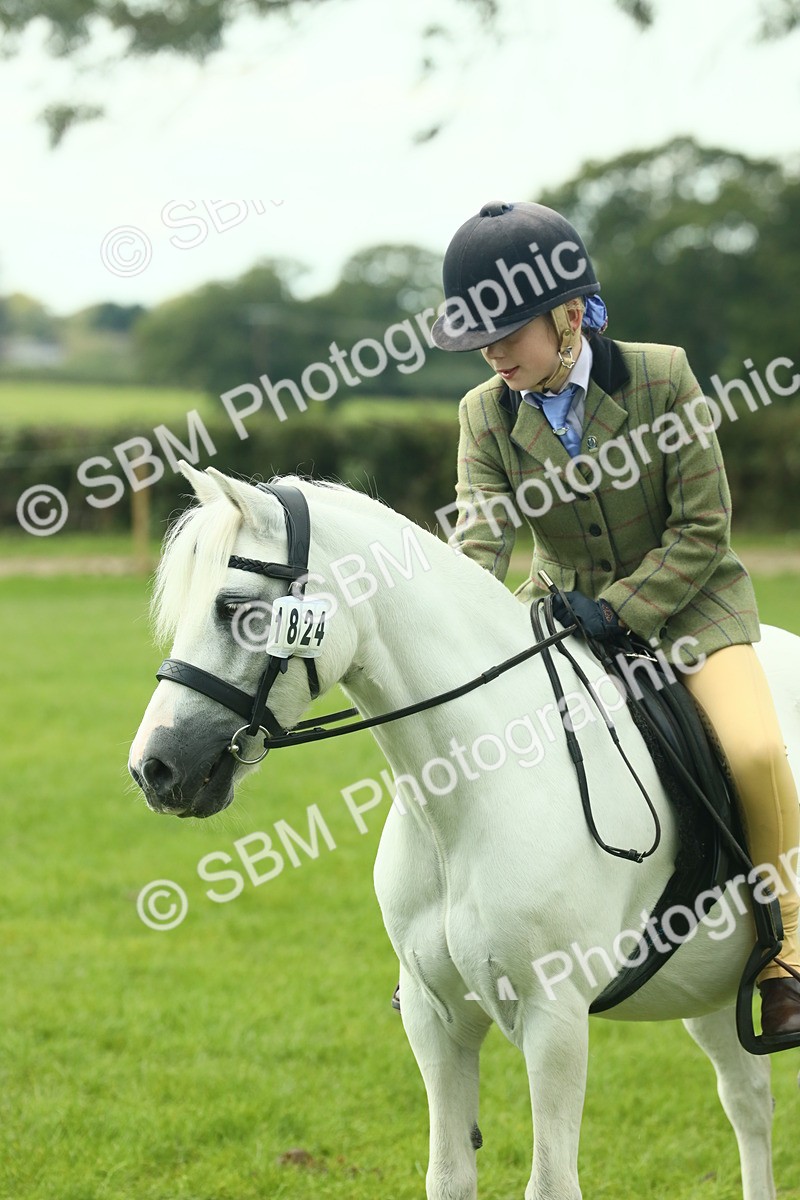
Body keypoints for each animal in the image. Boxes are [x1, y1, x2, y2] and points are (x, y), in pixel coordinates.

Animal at [129, 463, 800, 1200]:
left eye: (234, 608)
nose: (154, 769)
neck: (469, 792)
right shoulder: (435, 1018)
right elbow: (449, 1176)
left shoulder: (554, 1019)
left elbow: (551, 1184)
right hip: (710, 991)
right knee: (748, 1102)